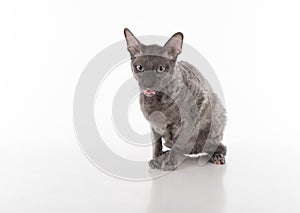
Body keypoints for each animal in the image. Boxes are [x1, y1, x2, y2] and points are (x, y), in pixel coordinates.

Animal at [123, 28, 226, 171]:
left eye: (160, 69)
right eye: (140, 67)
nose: (148, 84)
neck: (156, 102)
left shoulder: (197, 106)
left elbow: (179, 143)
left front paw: (170, 163)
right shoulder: (153, 124)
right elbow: (156, 143)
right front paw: (157, 157)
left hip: (214, 123)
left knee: (221, 147)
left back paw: (215, 156)